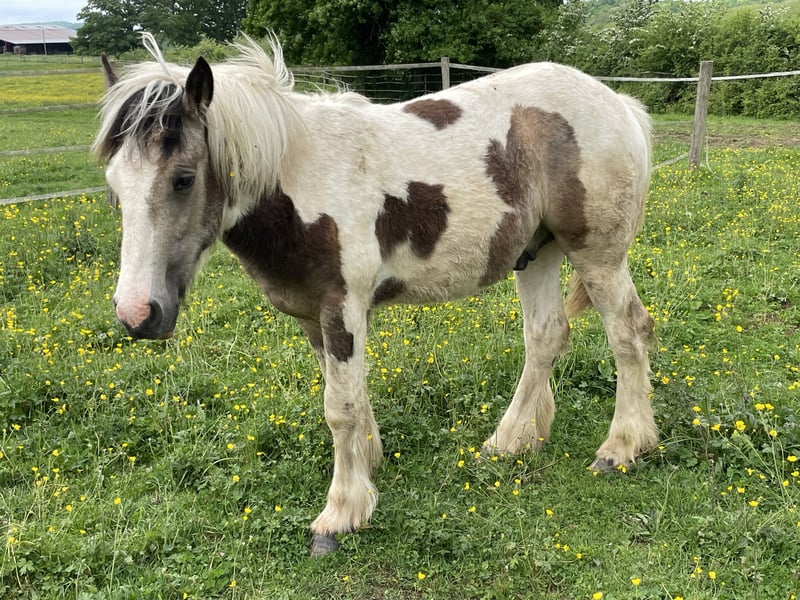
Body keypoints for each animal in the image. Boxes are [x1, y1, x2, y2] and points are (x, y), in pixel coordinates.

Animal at [94, 33, 657, 557]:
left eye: (184, 179)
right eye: (113, 187)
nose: (137, 313)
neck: (297, 178)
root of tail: (617, 102)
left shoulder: (342, 305)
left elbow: (339, 406)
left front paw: (340, 513)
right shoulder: (314, 315)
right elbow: (347, 394)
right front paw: (367, 465)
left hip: (597, 256)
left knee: (629, 333)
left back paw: (621, 447)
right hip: (537, 252)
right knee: (545, 337)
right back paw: (508, 441)